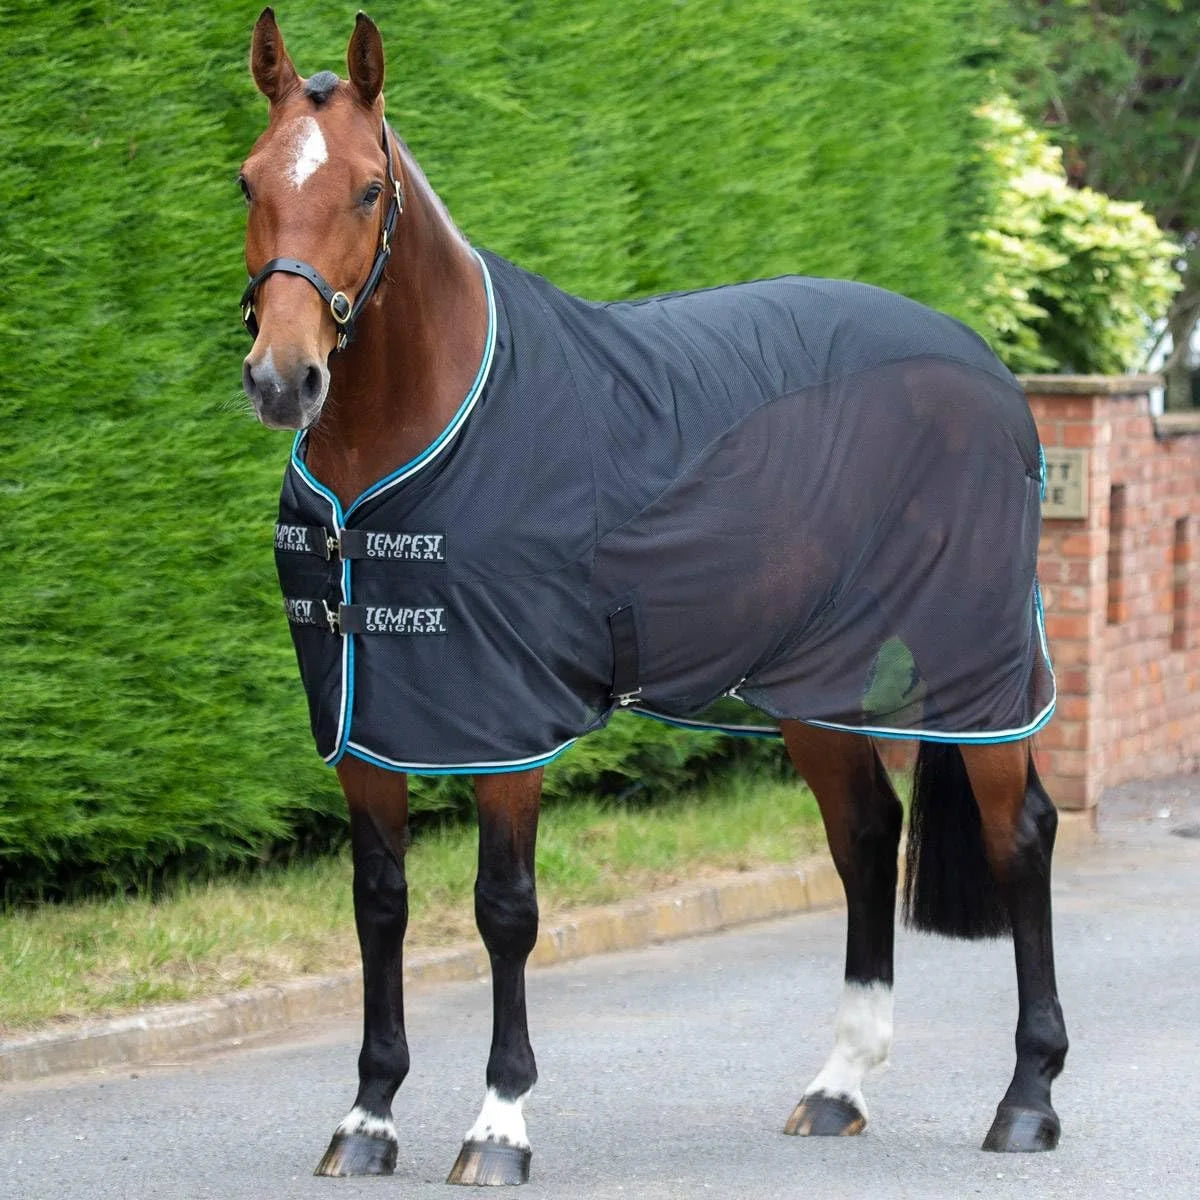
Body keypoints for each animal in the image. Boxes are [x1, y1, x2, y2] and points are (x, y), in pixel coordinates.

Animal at [238, 9, 1068, 1184]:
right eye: (248, 181)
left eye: (364, 188)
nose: (283, 379)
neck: (425, 430)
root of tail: (981, 361)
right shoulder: (367, 725)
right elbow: (379, 908)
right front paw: (367, 1118)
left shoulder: (508, 729)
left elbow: (504, 911)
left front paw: (499, 1125)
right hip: (815, 684)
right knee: (865, 837)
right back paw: (837, 1086)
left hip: (978, 666)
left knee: (1021, 836)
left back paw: (1029, 1097)